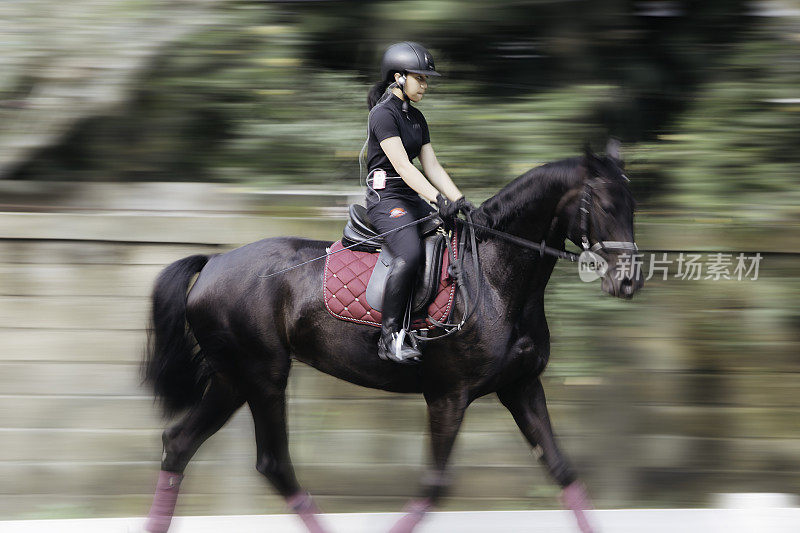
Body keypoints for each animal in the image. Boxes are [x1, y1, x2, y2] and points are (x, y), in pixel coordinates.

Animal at [142, 144, 644, 532]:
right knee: (273, 462)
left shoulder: (521, 386)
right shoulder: (448, 395)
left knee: (179, 444)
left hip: (233, 379)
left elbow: (562, 469)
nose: (629, 283)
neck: (495, 279)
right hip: (263, 376)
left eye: (632, 206)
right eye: (604, 205)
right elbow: (434, 486)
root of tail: (212, 263)